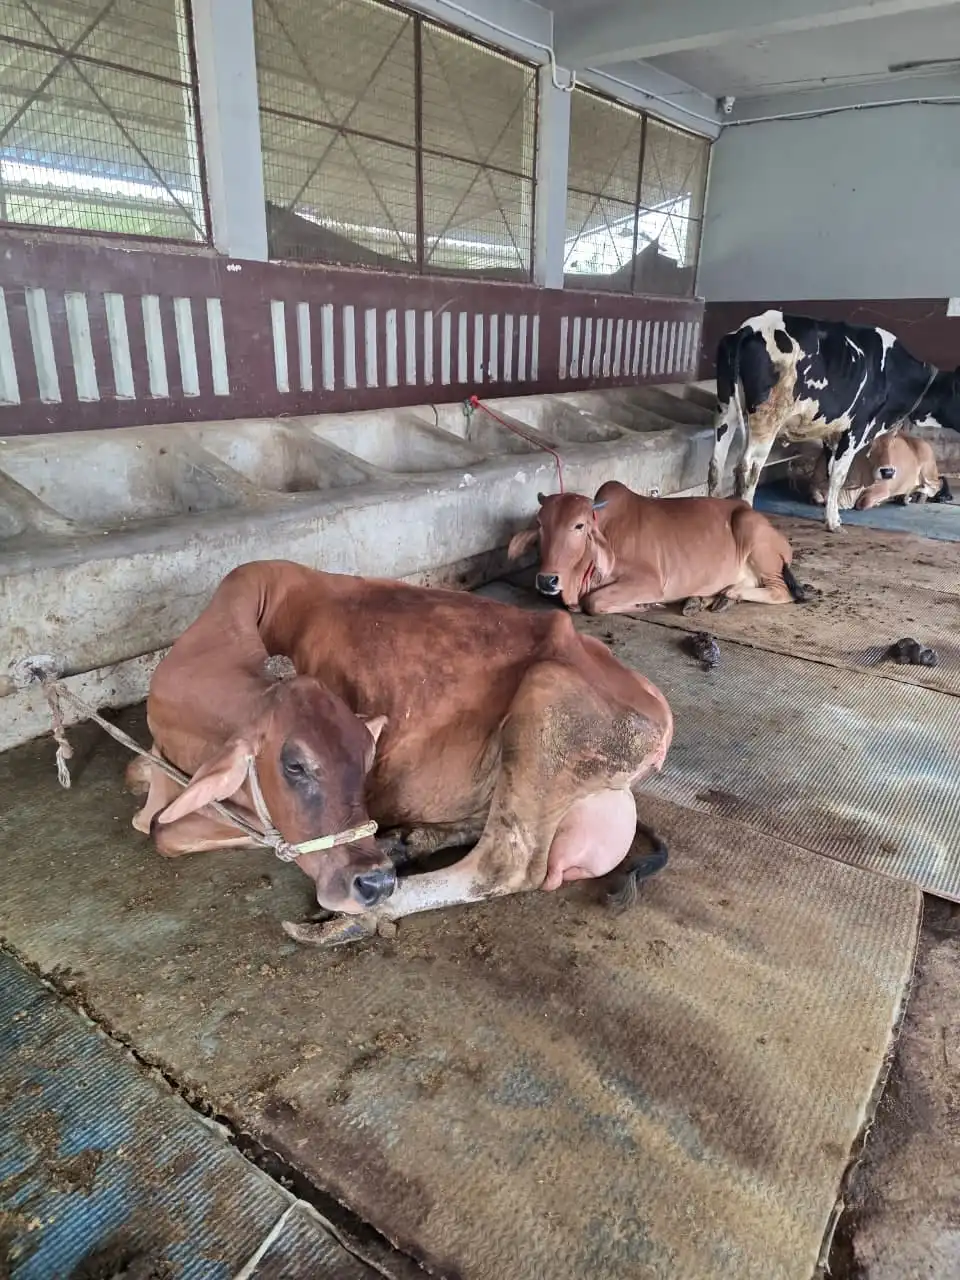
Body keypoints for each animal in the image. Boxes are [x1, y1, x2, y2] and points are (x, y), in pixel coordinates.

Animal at [126, 561, 673, 947]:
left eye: (368, 759)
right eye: (294, 764)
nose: (372, 881)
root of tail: (656, 704)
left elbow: (163, 831)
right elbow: (143, 788)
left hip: (546, 701)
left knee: (504, 862)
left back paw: (368, 911)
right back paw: (402, 843)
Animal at [507, 480, 817, 615]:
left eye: (579, 526)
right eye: (540, 523)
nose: (547, 580)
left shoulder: (650, 580)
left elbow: (592, 603)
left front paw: (645, 604)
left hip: (755, 538)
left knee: (781, 592)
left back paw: (729, 593)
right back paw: (704, 599)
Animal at [809, 432, 952, 511]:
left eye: (889, 444)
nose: (888, 472)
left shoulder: (882, 488)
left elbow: (864, 502)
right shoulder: (815, 484)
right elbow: (818, 498)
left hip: (928, 470)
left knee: (936, 484)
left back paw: (916, 496)